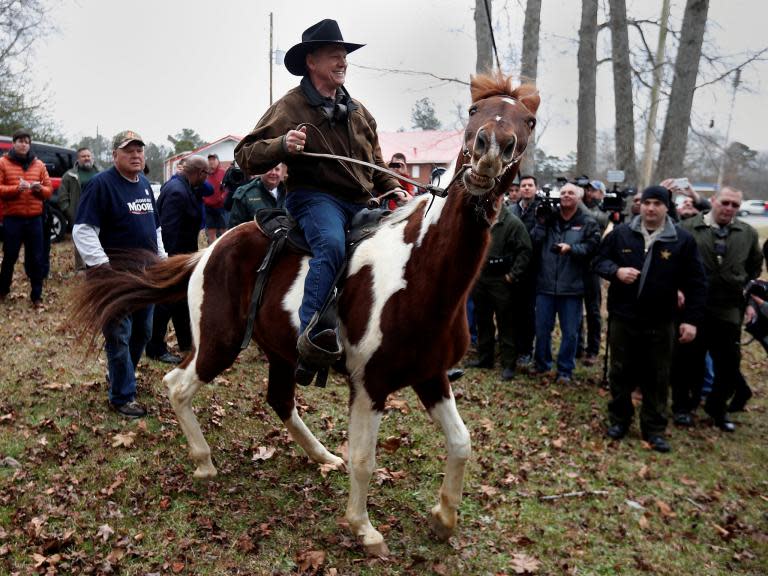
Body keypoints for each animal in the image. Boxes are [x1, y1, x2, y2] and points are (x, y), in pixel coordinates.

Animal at [72, 74, 540, 556]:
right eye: (474, 112)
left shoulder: (430, 375)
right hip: (218, 343)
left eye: (529, 121)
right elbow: (364, 458)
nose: (491, 148)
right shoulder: (370, 385)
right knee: (178, 385)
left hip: (279, 351)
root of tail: (209, 250)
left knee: (279, 399)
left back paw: (321, 455)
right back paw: (204, 462)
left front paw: (444, 519)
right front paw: (364, 528)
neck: (420, 270)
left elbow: (462, 443)